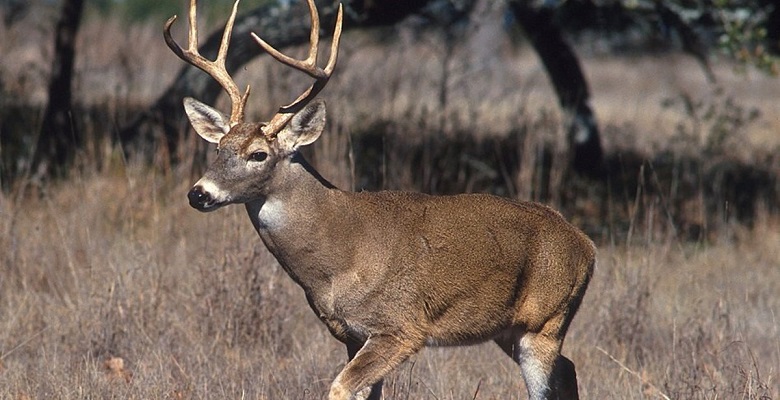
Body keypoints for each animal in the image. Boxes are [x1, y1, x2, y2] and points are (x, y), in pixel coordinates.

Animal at [163, 0, 592, 400]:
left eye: (258, 154)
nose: (199, 193)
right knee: (568, 369)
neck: (337, 257)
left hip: (546, 321)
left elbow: (340, 387)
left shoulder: (400, 327)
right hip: (509, 329)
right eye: (219, 148)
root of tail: (586, 245)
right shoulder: (351, 334)